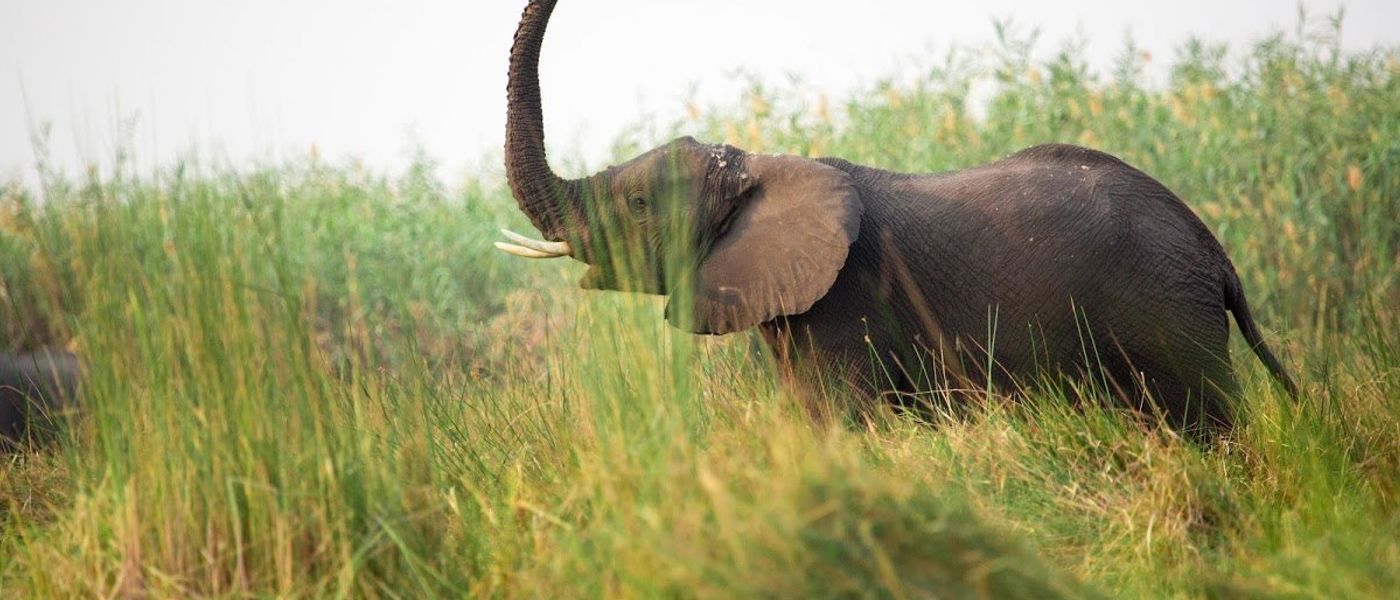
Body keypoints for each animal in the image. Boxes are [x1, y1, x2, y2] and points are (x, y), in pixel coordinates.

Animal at [494, 0, 1297, 436]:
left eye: (636, 205)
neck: (762, 166)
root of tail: (1217, 255)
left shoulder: (848, 298)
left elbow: (844, 419)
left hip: (1166, 311)